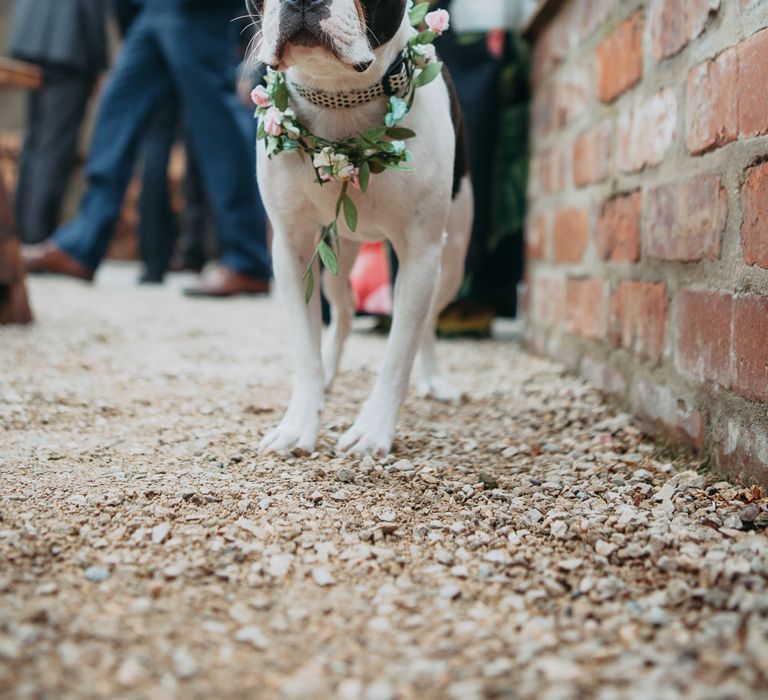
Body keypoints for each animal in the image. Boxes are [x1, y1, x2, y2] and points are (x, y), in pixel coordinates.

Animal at [249, 0, 472, 456]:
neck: (340, 97)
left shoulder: (421, 254)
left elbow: (398, 353)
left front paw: (373, 429)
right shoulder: (292, 248)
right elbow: (305, 347)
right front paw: (299, 423)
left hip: (451, 260)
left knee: (425, 323)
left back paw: (435, 380)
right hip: (337, 254)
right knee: (345, 310)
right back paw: (329, 376)